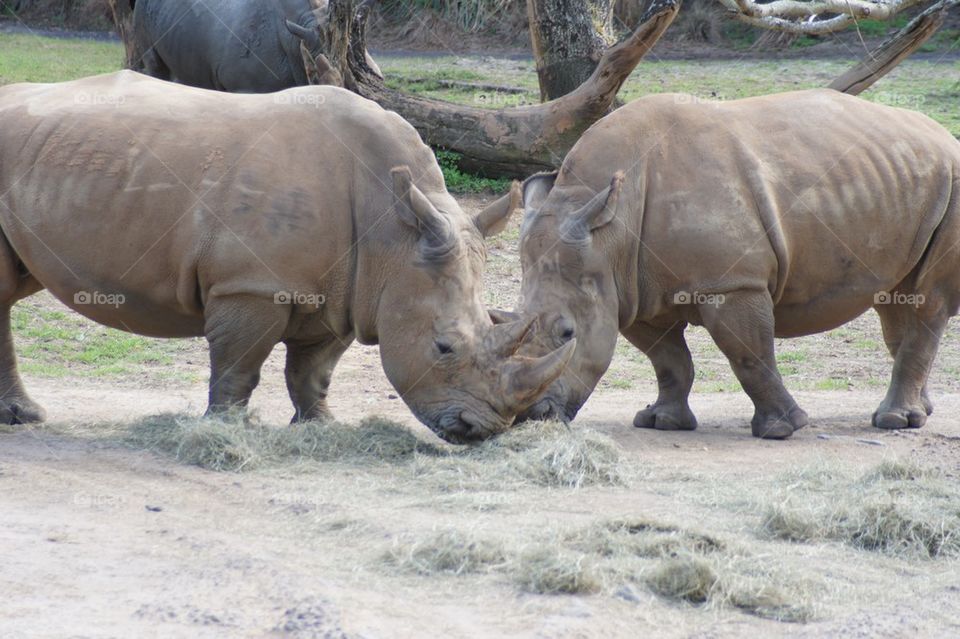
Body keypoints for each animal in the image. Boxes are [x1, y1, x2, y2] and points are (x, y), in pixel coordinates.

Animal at [0, 70, 574, 443]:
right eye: (443, 347)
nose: (483, 431)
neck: (393, 234)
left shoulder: (352, 290)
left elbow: (313, 369)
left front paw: (321, 427)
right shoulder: (250, 285)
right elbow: (239, 365)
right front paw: (226, 430)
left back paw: (23, 416)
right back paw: (26, 419)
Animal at [514, 89, 960, 439]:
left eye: (567, 332)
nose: (528, 417)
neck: (609, 234)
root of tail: (944, 136)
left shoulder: (731, 283)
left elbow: (749, 354)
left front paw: (781, 429)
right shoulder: (631, 292)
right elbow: (668, 359)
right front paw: (661, 422)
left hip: (952, 180)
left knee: (926, 301)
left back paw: (894, 421)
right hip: (900, 184)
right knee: (895, 300)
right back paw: (921, 412)